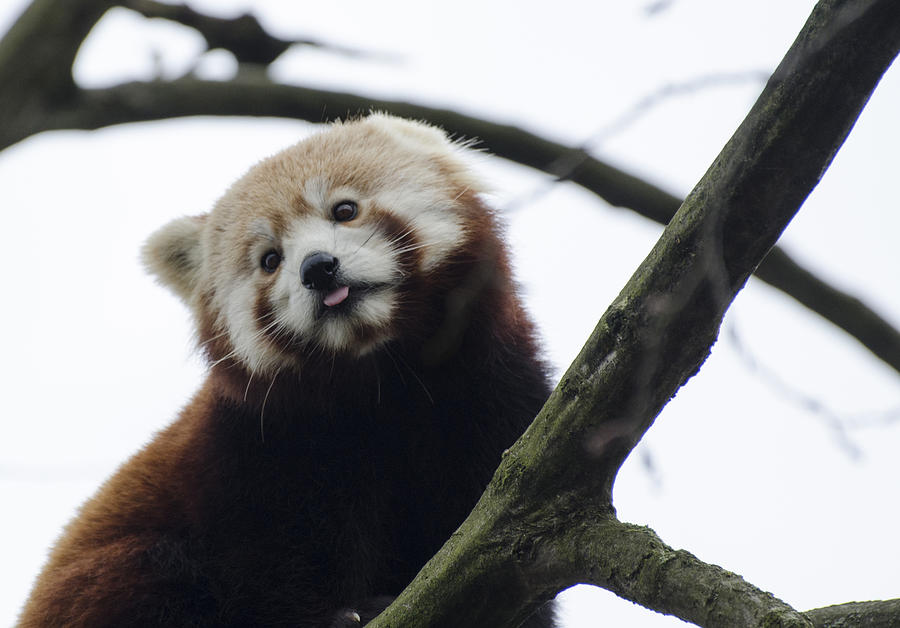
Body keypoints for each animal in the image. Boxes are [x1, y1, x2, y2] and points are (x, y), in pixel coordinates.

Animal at [19, 115, 556, 624]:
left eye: (344, 210)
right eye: (270, 259)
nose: (317, 268)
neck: (381, 377)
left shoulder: (493, 393)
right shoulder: (259, 451)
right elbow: (280, 572)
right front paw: (342, 615)